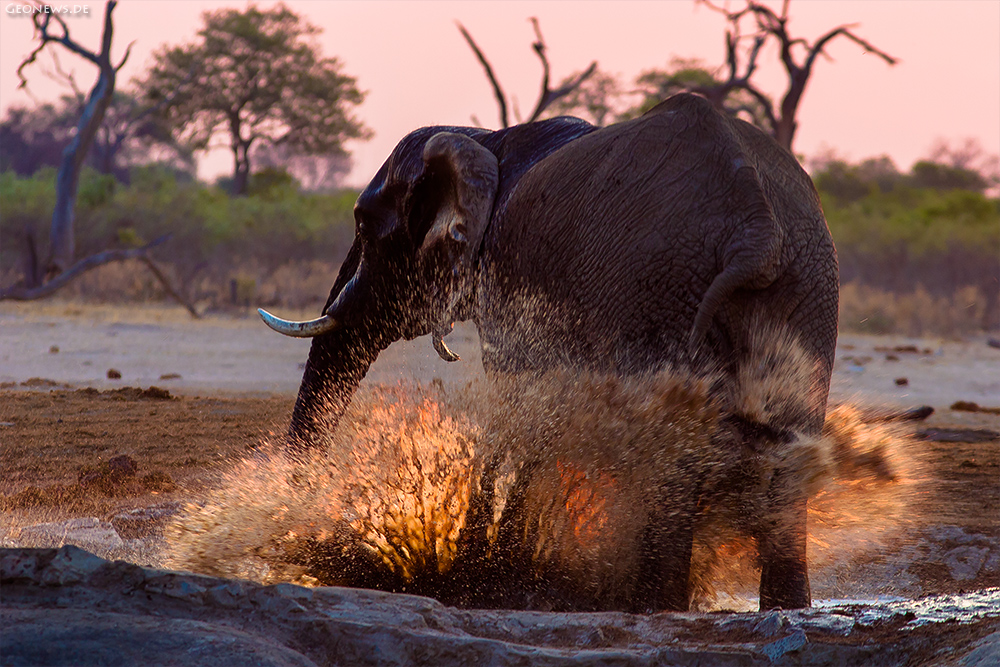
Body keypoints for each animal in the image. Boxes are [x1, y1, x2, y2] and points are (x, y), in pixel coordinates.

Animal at [258, 95, 836, 616]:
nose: (291, 531)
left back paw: (655, 605)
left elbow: (518, 407)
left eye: (361, 223)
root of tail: (756, 229)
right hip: (805, 287)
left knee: (676, 448)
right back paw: (779, 607)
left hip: (660, 289)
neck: (484, 142)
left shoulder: (508, 287)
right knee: (791, 448)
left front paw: (484, 578)